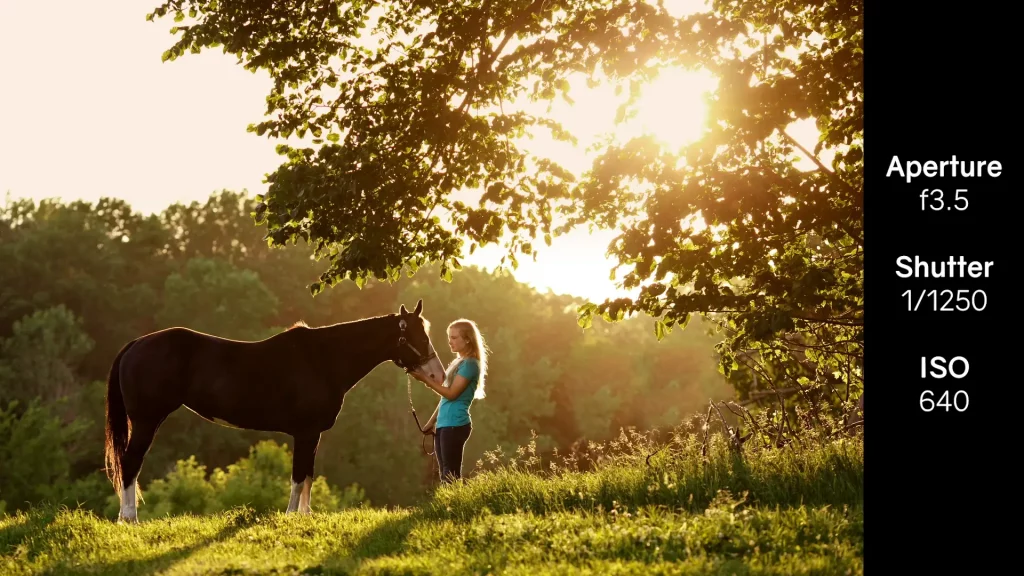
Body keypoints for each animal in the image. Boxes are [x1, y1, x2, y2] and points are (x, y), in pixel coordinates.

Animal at [100, 297, 448, 522]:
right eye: (418, 336)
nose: (438, 376)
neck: (323, 359)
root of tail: (135, 344)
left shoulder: (313, 435)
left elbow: (308, 475)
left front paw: (305, 516)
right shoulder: (304, 433)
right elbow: (297, 476)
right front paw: (292, 516)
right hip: (146, 421)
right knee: (130, 464)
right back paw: (129, 518)